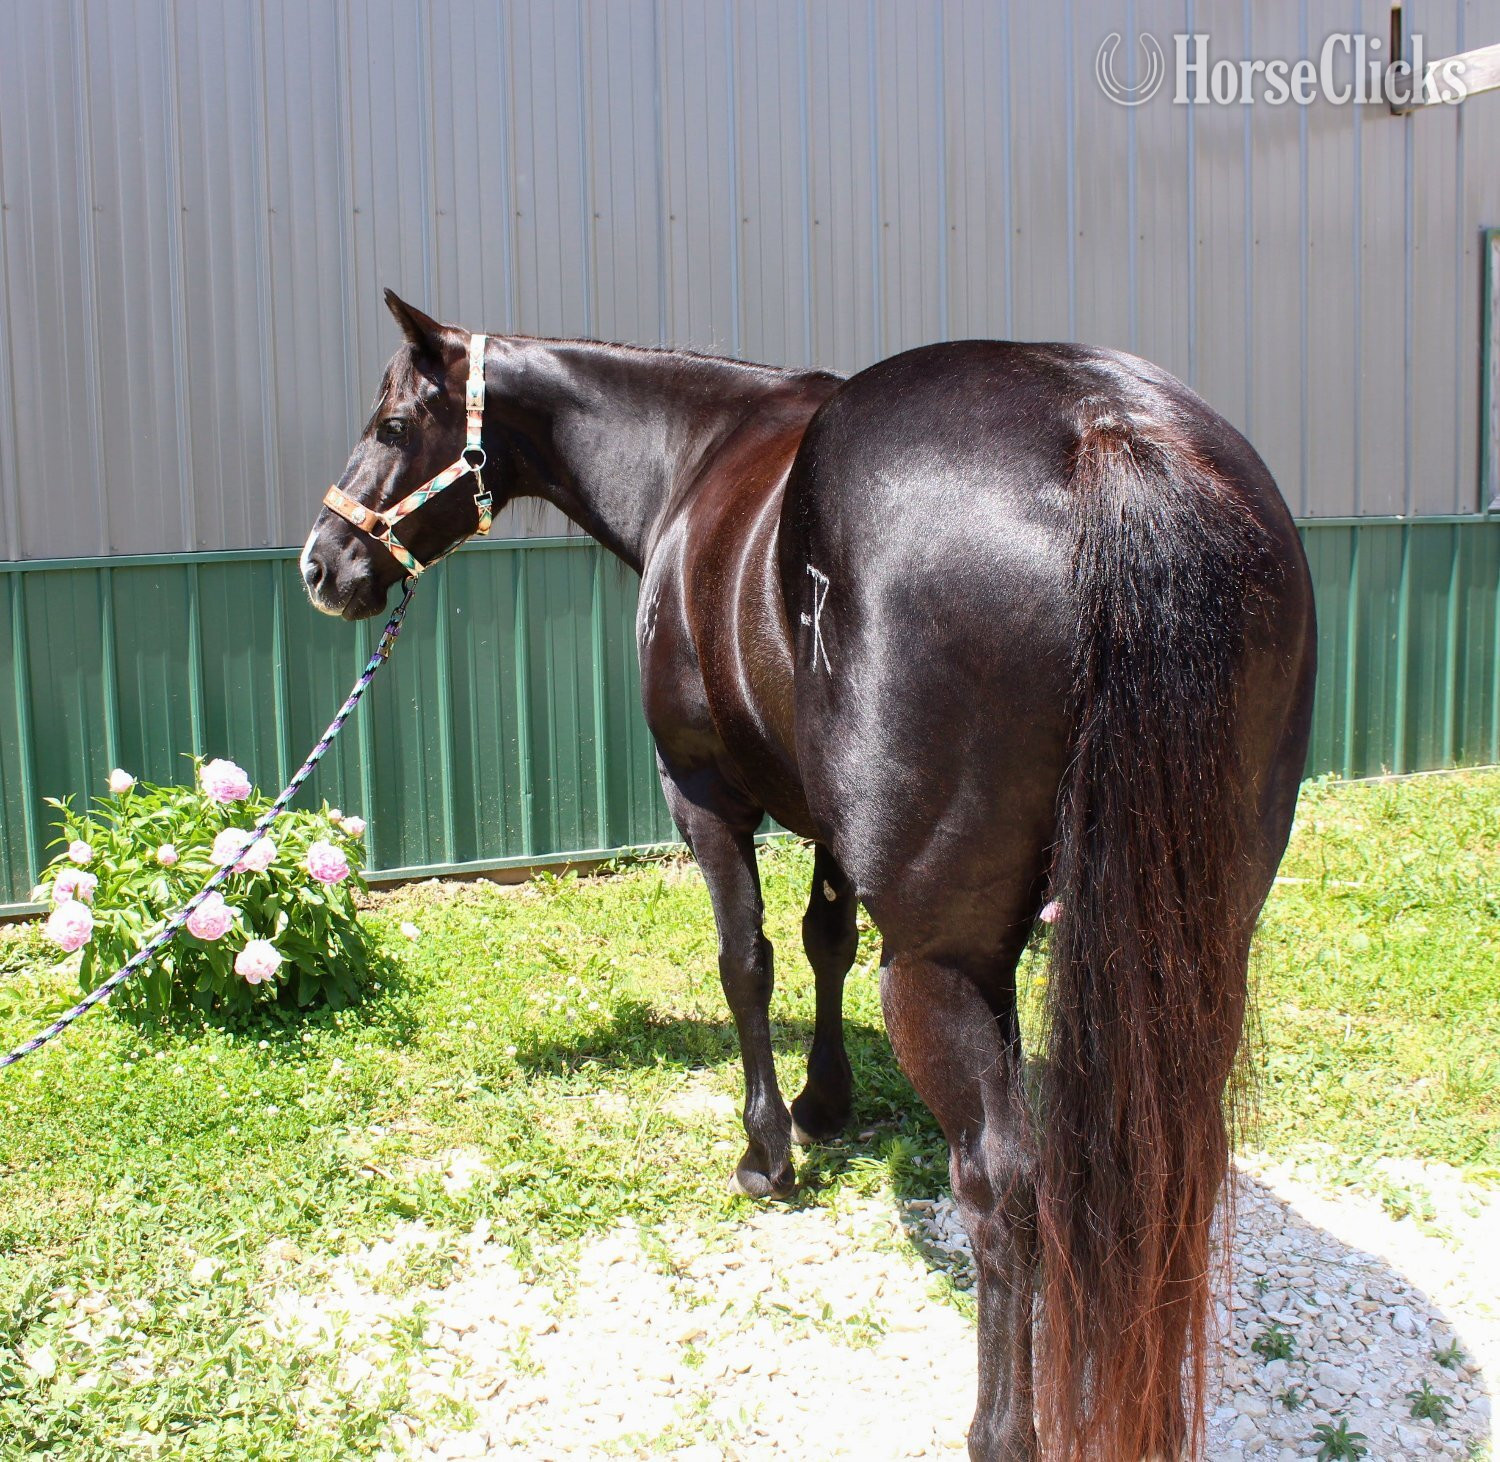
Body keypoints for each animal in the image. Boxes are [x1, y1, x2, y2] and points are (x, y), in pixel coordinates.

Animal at [301, 291, 1316, 1461]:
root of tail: (1109, 440)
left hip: (943, 964)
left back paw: (1000, 1423)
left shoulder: (704, 794)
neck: (694, 451)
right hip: (1199, 948)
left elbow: (747, 960)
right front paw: (825, 1100)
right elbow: (826, 938)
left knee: (1002, 1181)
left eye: (390, 422)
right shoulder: (831, 821)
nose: (322, 564)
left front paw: (768, 1150)